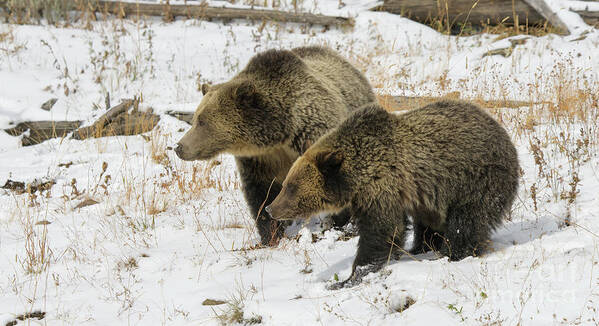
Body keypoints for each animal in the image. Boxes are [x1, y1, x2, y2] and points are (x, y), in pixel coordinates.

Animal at [173, 45, 378, 244]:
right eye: (196, 118)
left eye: (202, 121)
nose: (179, 147)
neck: (279, 135)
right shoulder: (259, 160)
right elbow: (261, 194)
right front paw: (270, 236)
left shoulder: (313, 134)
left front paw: (338, 224)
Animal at [268, 100, 520, 288]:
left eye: (291, 186)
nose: (271, 209)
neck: (357, 177)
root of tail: (505, 137)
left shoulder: (381, 189)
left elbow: (382, 231)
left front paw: (349, 277)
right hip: (433, 199)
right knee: (428, 225)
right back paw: (421, 247)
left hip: (474, 181)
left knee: (466, 222)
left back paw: (452, 253)